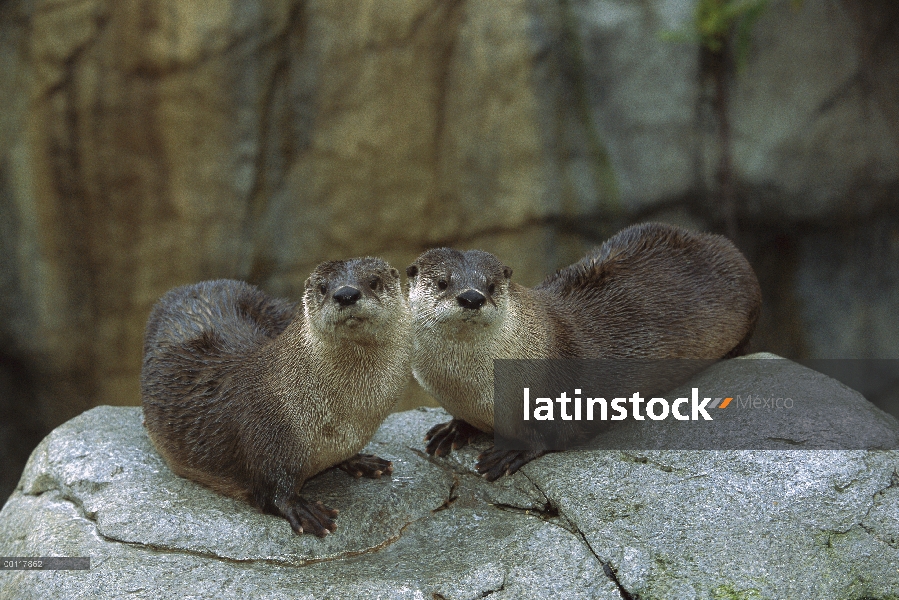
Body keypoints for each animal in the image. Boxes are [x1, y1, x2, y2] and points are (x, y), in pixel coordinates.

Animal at [406, 223, 760, 480]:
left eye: (491, 286)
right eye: (442, 282)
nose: (472, 297)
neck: (467, 387)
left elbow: (560, 433)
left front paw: (512, 452)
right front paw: (453, 429)